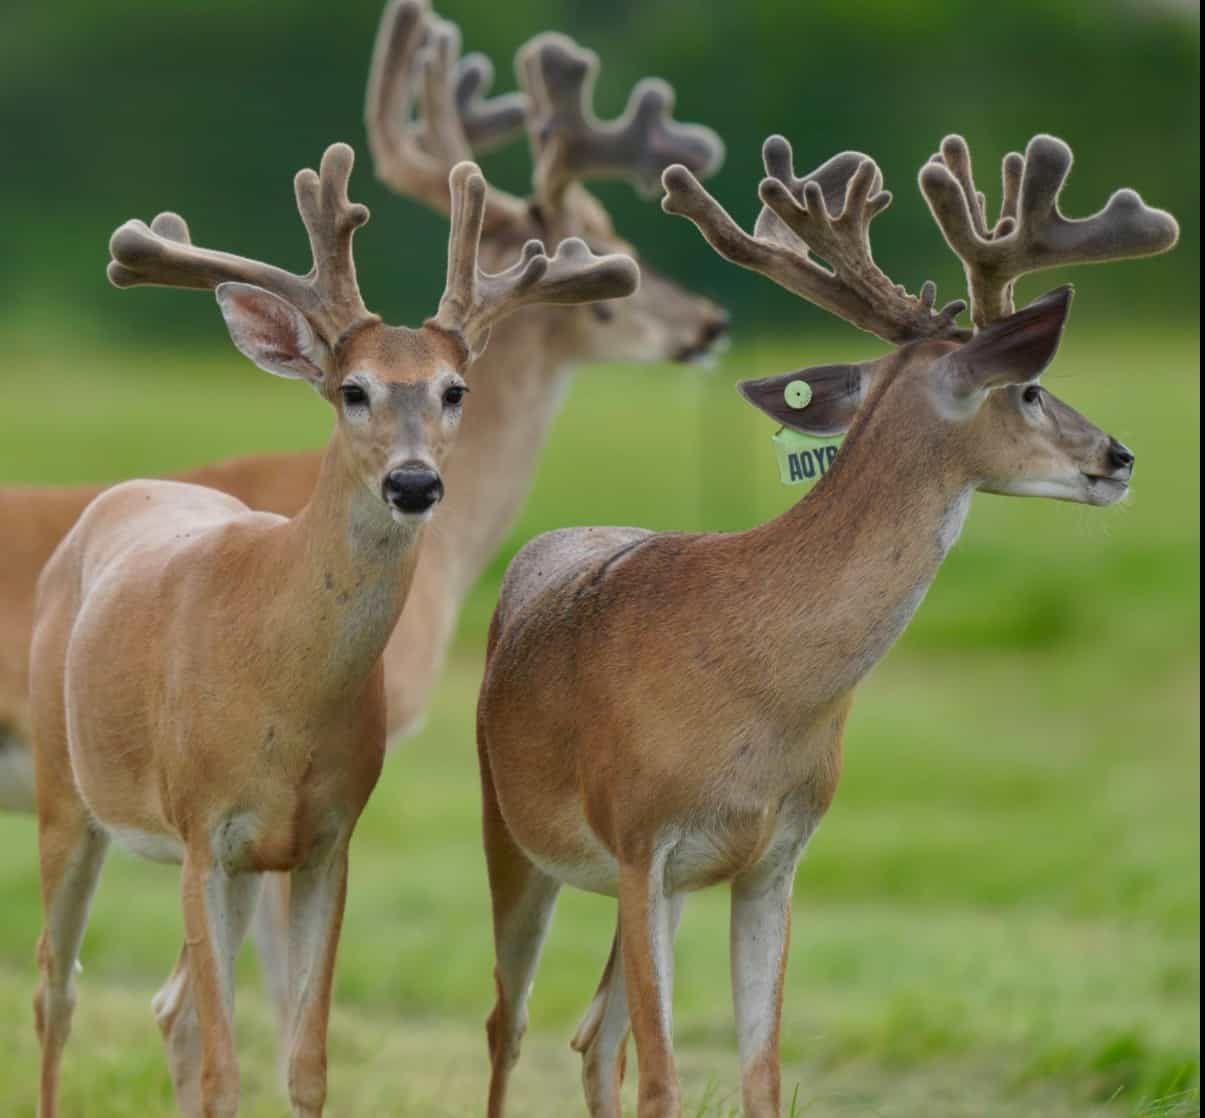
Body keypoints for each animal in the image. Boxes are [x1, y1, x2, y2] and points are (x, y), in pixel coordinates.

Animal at [26, 144, 636, 1118]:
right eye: (353, 390)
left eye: (454, 390)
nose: (414, 483)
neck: (279, 685)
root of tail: (123, 494)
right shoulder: (202, 828)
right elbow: (228, 1067)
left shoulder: (326, 838)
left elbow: (304, 1062)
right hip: (65, 785)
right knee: (57, 986)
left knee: (170, 1008)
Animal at [474, 131, 1178, 1117]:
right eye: (1031, 388)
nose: (1118, 456)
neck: (757, 686)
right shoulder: (642, 834)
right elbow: (663, 1077)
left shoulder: (776, 852)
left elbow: (759, 1071)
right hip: (515, 831)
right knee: (511, 1023)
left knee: (590, 1035)